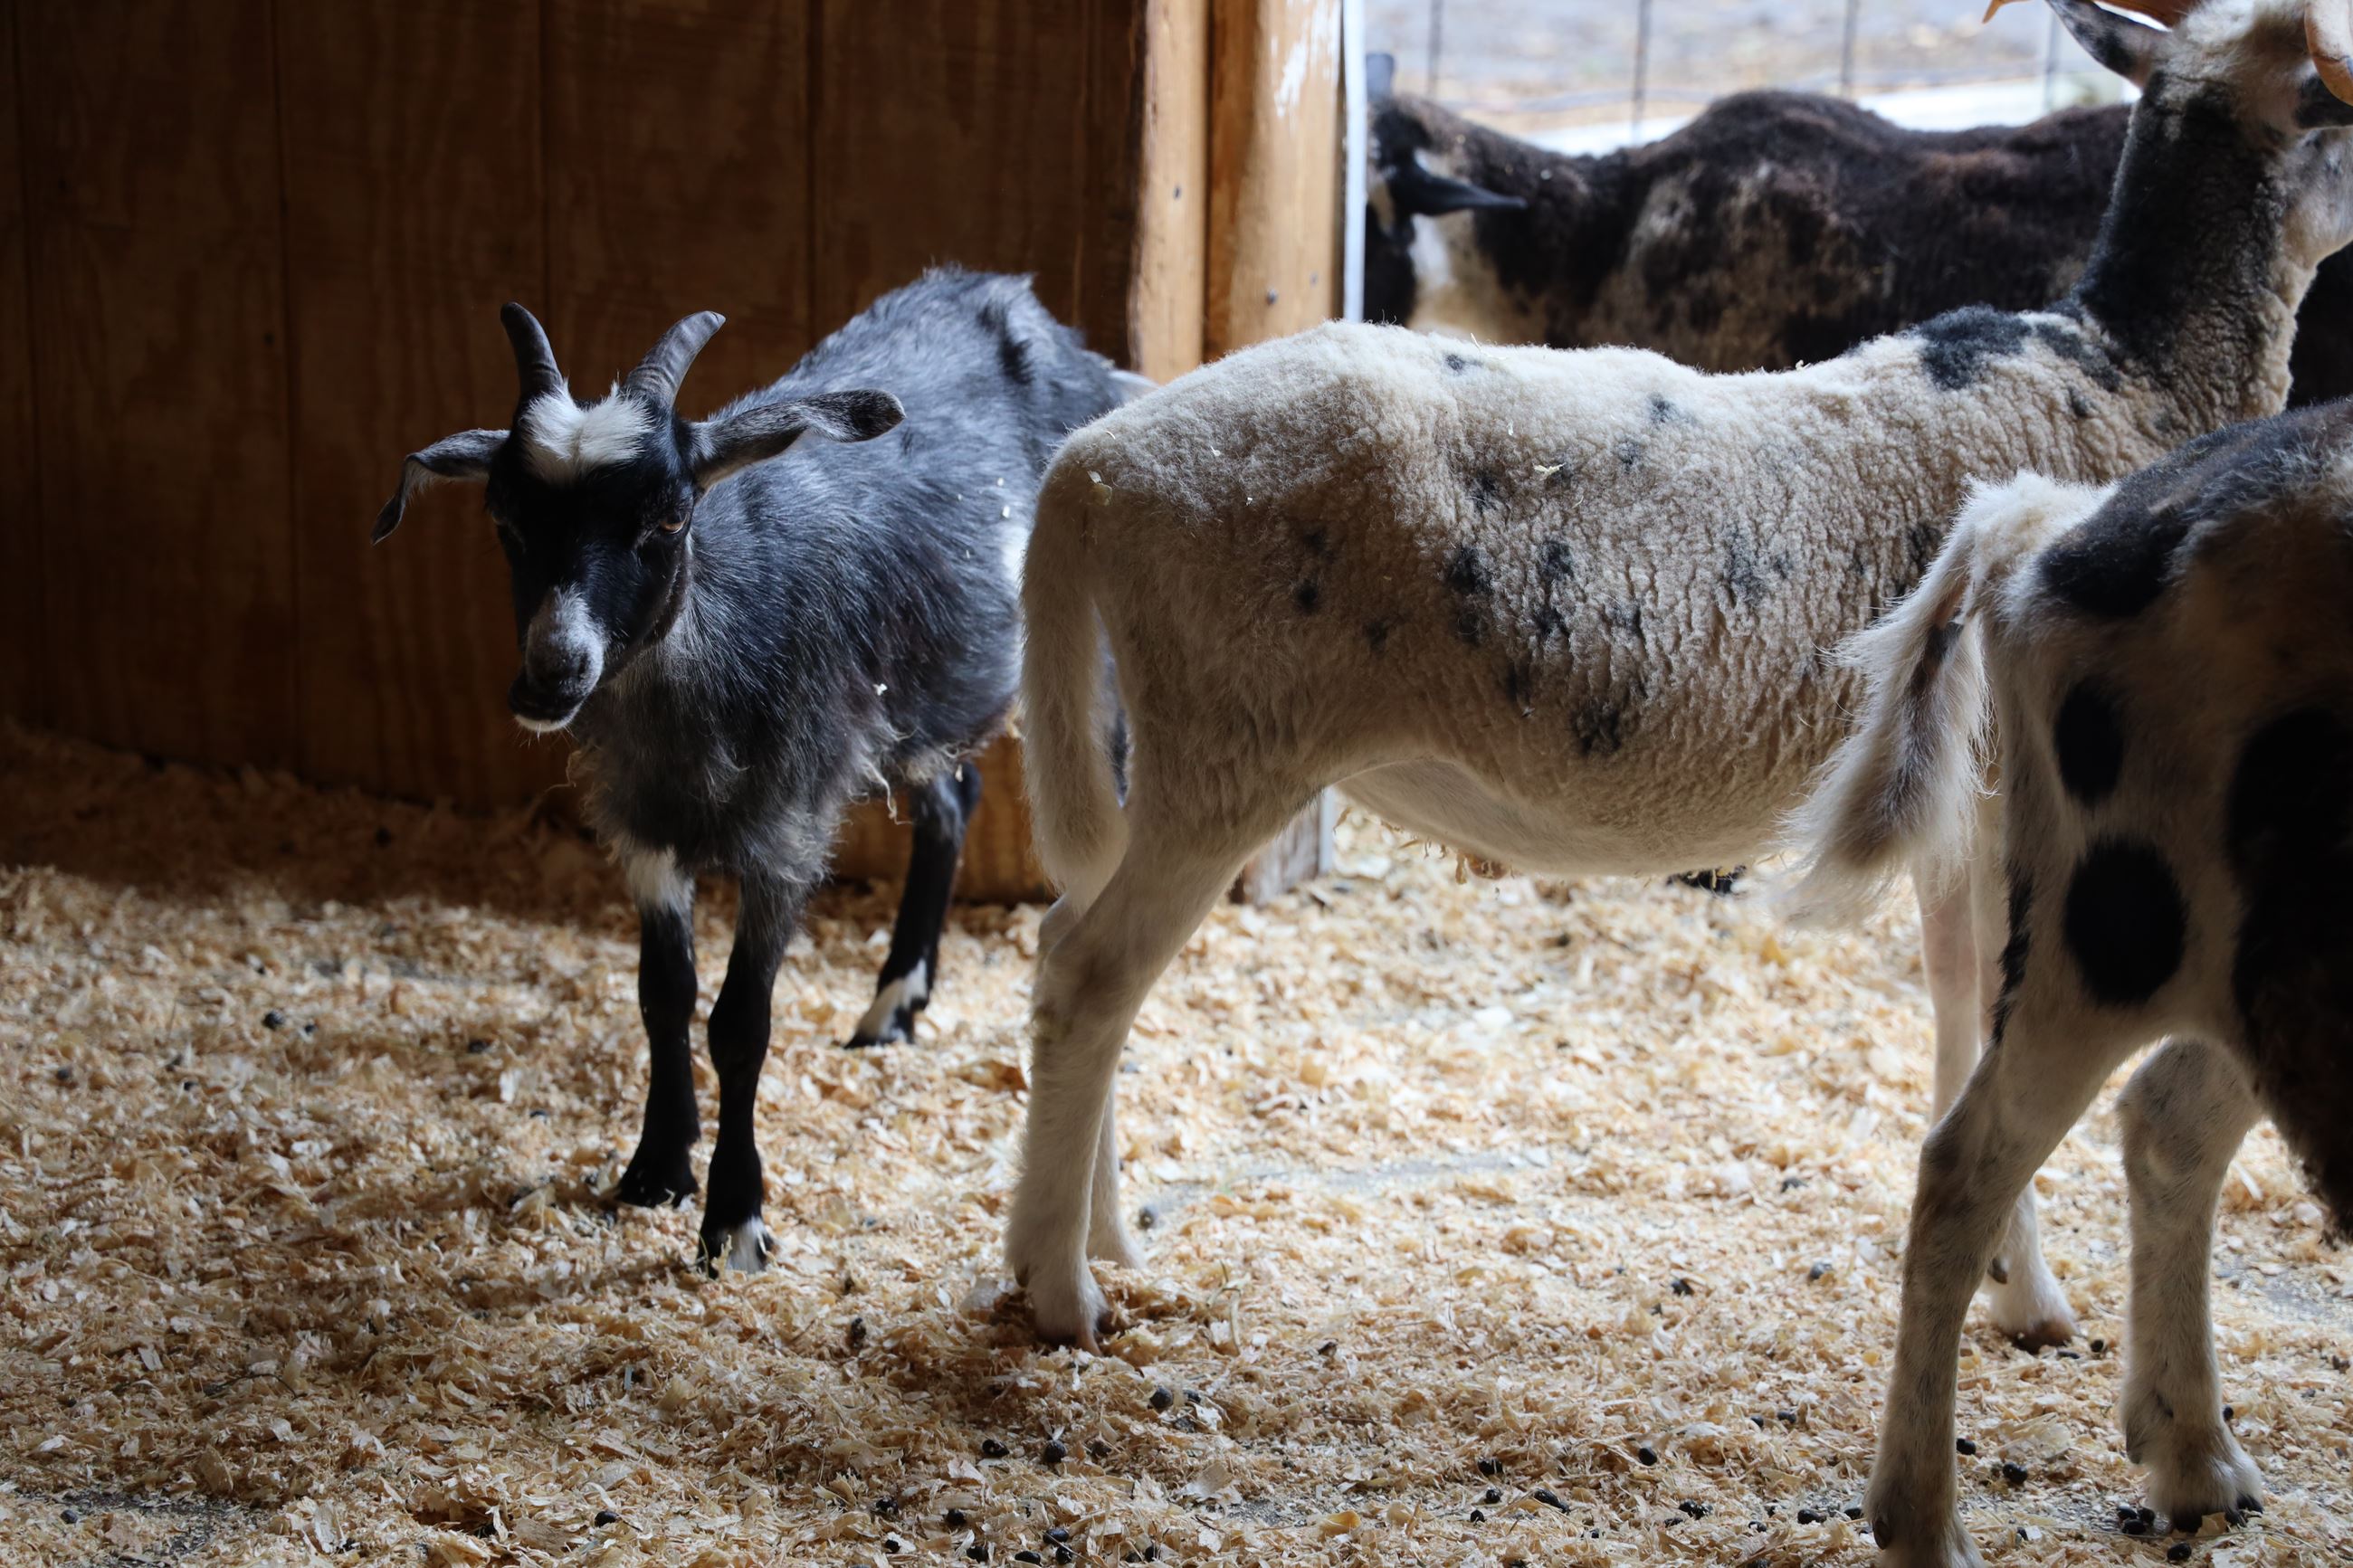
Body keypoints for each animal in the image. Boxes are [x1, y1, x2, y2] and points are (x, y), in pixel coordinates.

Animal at [373, 268, 1139, 1273]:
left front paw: (733, 1218)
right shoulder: (645, 829)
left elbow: (739, 1021)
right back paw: (894, 1006)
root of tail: (1031, 310)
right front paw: (656, 1167)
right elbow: (662, 996)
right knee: (954, 800)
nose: (551, 672)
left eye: (669, 515)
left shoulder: (785, 830)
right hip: (910, 704)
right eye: (505, 518)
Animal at [1783, 396, 2353, 1565]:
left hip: (2238, 965)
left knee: (2165, 1119)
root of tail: (2062, 520)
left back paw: (2194, 1457)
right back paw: (1924, 1521)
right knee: (1962, 1164)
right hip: (2108, 928)